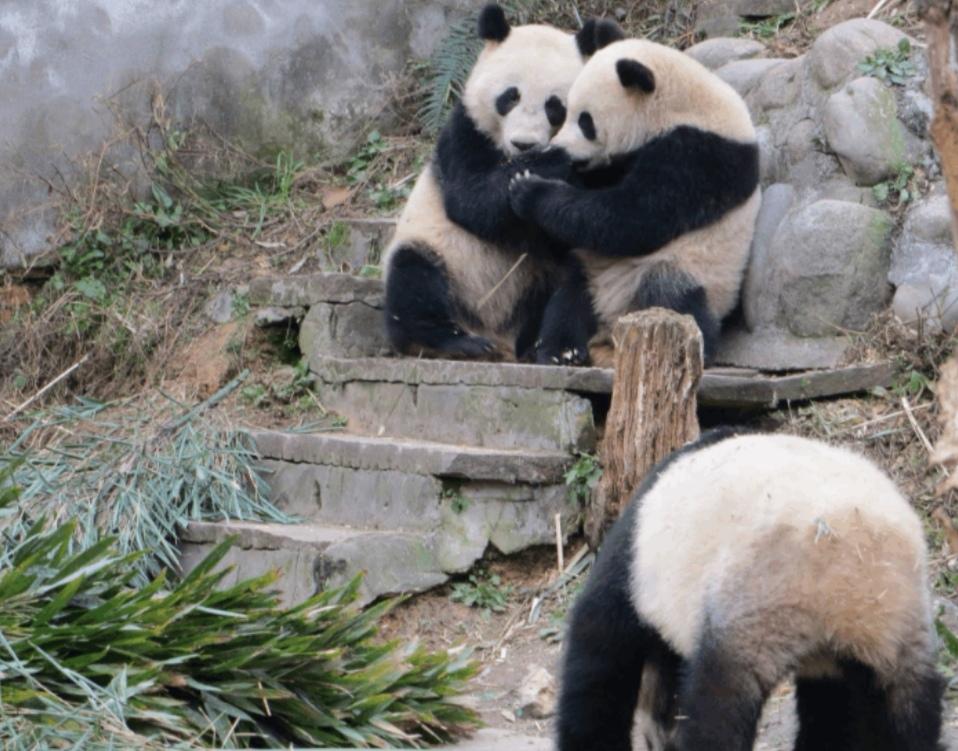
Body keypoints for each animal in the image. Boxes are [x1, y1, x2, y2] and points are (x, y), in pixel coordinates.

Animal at [384, 3, 584, 362]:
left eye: (555, 106)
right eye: (510, 97)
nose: (524, 144)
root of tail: (500, 334)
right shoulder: (465, 132)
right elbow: (471, 201)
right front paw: (549, 161)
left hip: (536, 279)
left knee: (569, 285)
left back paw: (551, 349)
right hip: (446, 259)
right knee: (413, 280)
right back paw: (455, 342)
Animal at [510, 22, 764, 366]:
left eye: (586, 121)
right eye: (565, 113)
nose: (560, 147)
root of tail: (613, 323)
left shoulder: (701, 157)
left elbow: (632, 218)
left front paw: (530, 189)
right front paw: (535, 165)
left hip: (688, 270)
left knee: (671, 296)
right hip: (591, 269)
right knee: (568, 299)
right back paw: (560, 350)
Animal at [564, 428, 944, 751]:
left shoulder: (636, 562)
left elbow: (599, 649)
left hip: (757, 604)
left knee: (719, 710)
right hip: (897, 632)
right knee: (903, 716)